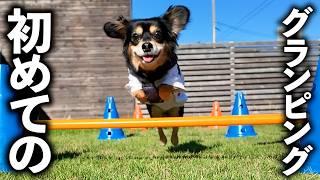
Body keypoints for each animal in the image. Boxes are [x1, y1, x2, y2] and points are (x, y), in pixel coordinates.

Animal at [104, 5, 190, 146]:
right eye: (135, 36)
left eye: (157, 34)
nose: (146, 45)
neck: (151, 71)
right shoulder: (133, 81)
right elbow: (138, 91)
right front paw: (145, 96)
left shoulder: (175, 77)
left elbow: (165, 86)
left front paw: (162, 93)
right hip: (154, 113)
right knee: (159, 127)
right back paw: (162, 140)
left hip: (177, 111)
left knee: (175, 127)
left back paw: (174, 140)